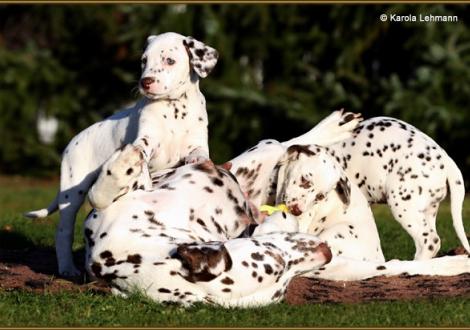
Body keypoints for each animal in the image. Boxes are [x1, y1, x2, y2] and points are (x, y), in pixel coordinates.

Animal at [27, 32, 220, 276]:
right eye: (143, 61)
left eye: (169, 60)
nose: (145, 82)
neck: (175, 107)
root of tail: (73, 141)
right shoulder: (144, 143)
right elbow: (142, 165)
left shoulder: (196, 142)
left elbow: (200, 154)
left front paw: (201, 163)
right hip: (72, 190)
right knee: (63, 231)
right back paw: (68, 268)